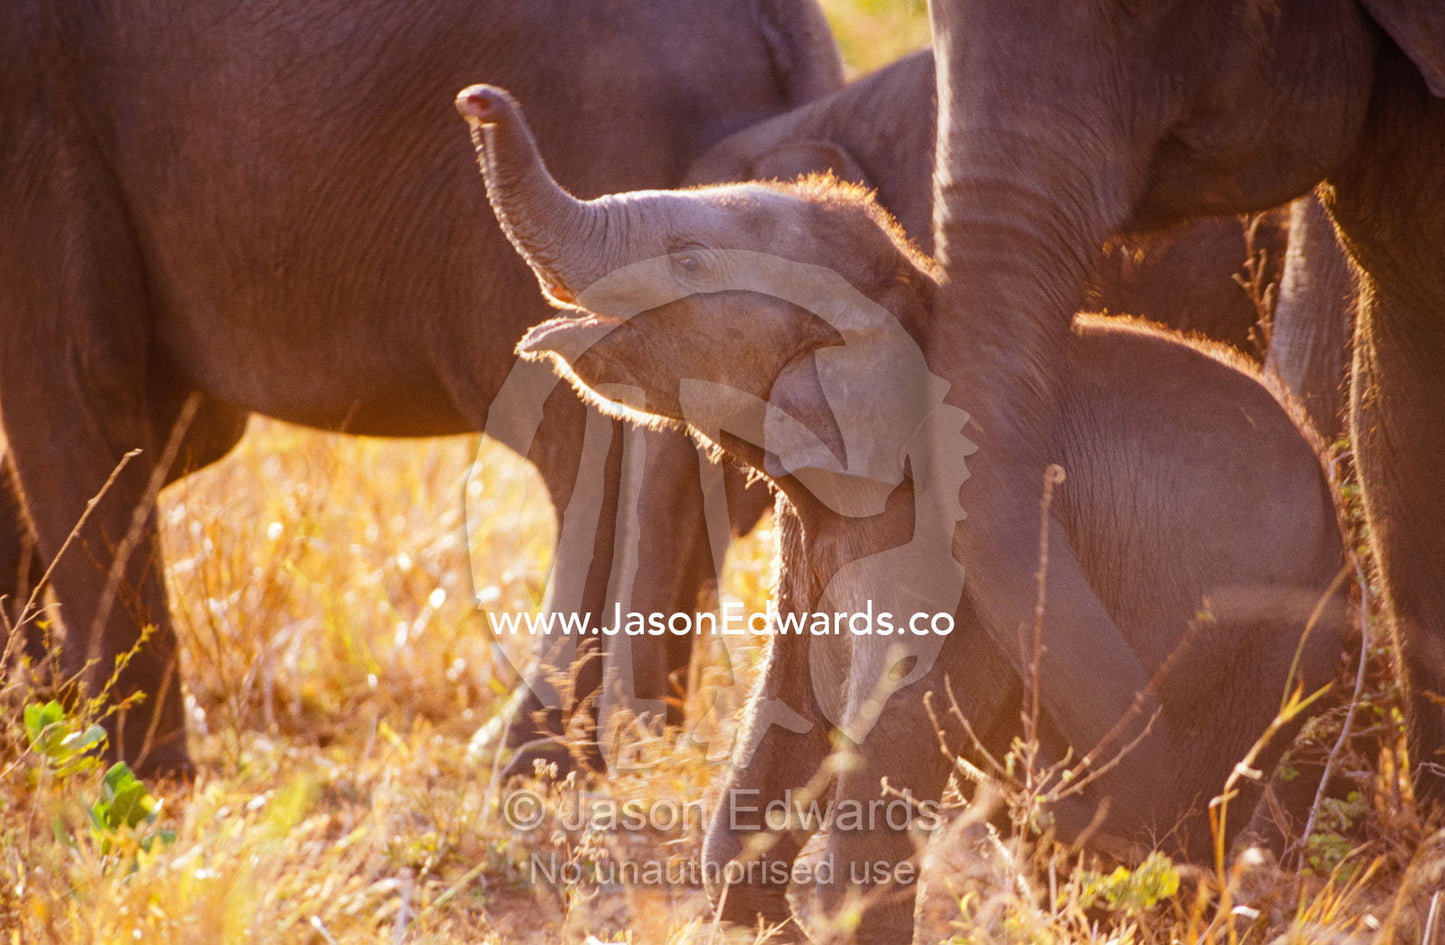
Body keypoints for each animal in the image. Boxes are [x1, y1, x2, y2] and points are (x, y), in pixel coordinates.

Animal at [0, 0, 842, 776]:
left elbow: (77, 389)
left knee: (593, 468)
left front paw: (126, 780)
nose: (475, 102)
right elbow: (168, 431)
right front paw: (37, 713)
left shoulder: (37, 109)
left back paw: (536, 759)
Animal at [457, 84, 1349, 943]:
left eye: (688, 259)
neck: (913, 288)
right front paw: (763, 925)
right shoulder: (815, 538)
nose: (477, 100)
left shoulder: (948, 556)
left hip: (1260, 653)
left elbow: (892, 732)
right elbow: (788, 708)